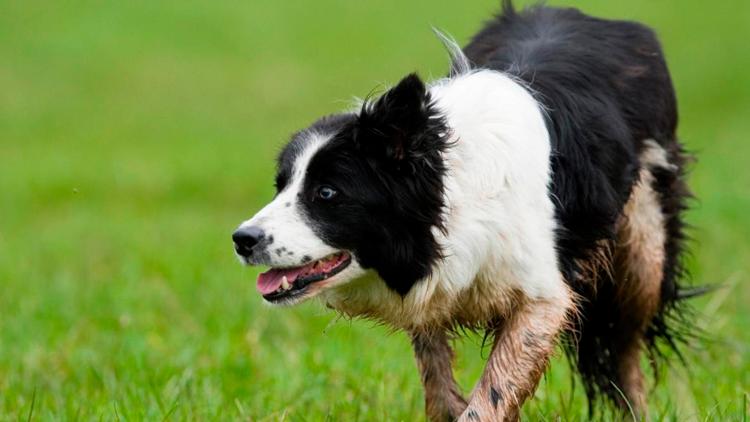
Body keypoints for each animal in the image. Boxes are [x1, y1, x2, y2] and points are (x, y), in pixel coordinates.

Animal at [232, 2, 704, 418]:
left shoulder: (544, 297)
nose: (242, 239)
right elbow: (440, 388)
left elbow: (490, 396)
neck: (454, 195)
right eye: (281, 185)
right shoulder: (432, 292)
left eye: (327, 193)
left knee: (626, 348)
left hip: (642, 247)